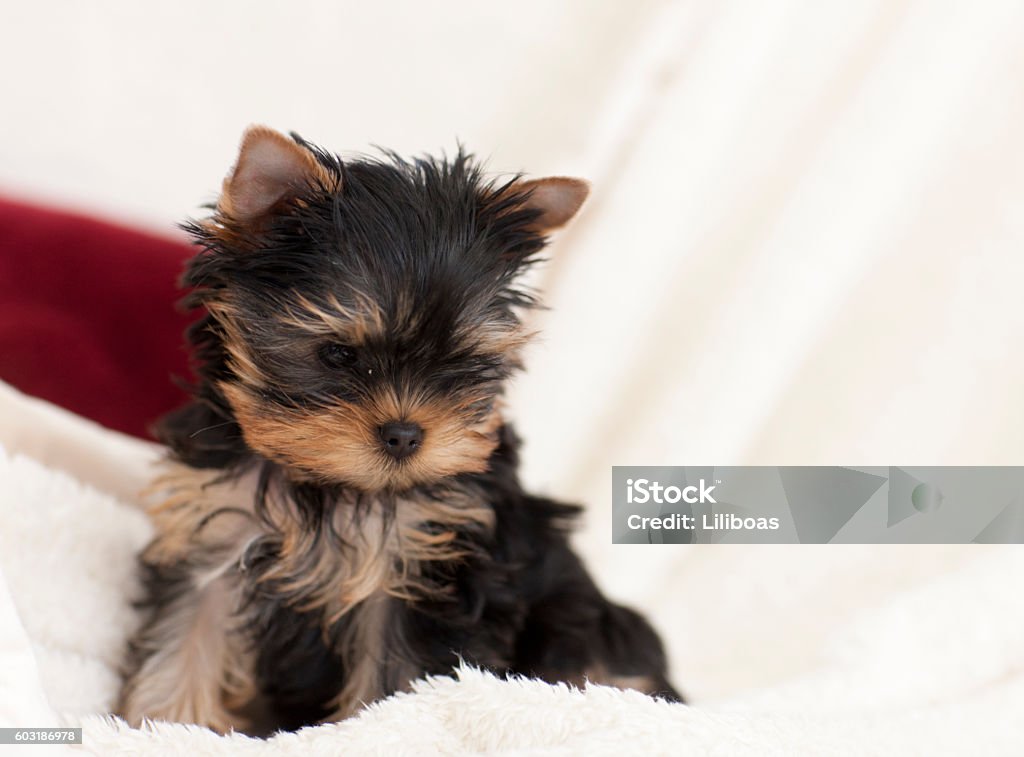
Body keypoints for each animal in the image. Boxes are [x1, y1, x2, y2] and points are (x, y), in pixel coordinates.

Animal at [117, 128, 679, 733]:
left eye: (459, 364)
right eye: (340, 355)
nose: (406, 435)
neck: (327, 484)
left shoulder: (425, 571)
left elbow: (397, 678)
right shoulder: (212, 535)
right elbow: (184, 634)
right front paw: (164, 725)